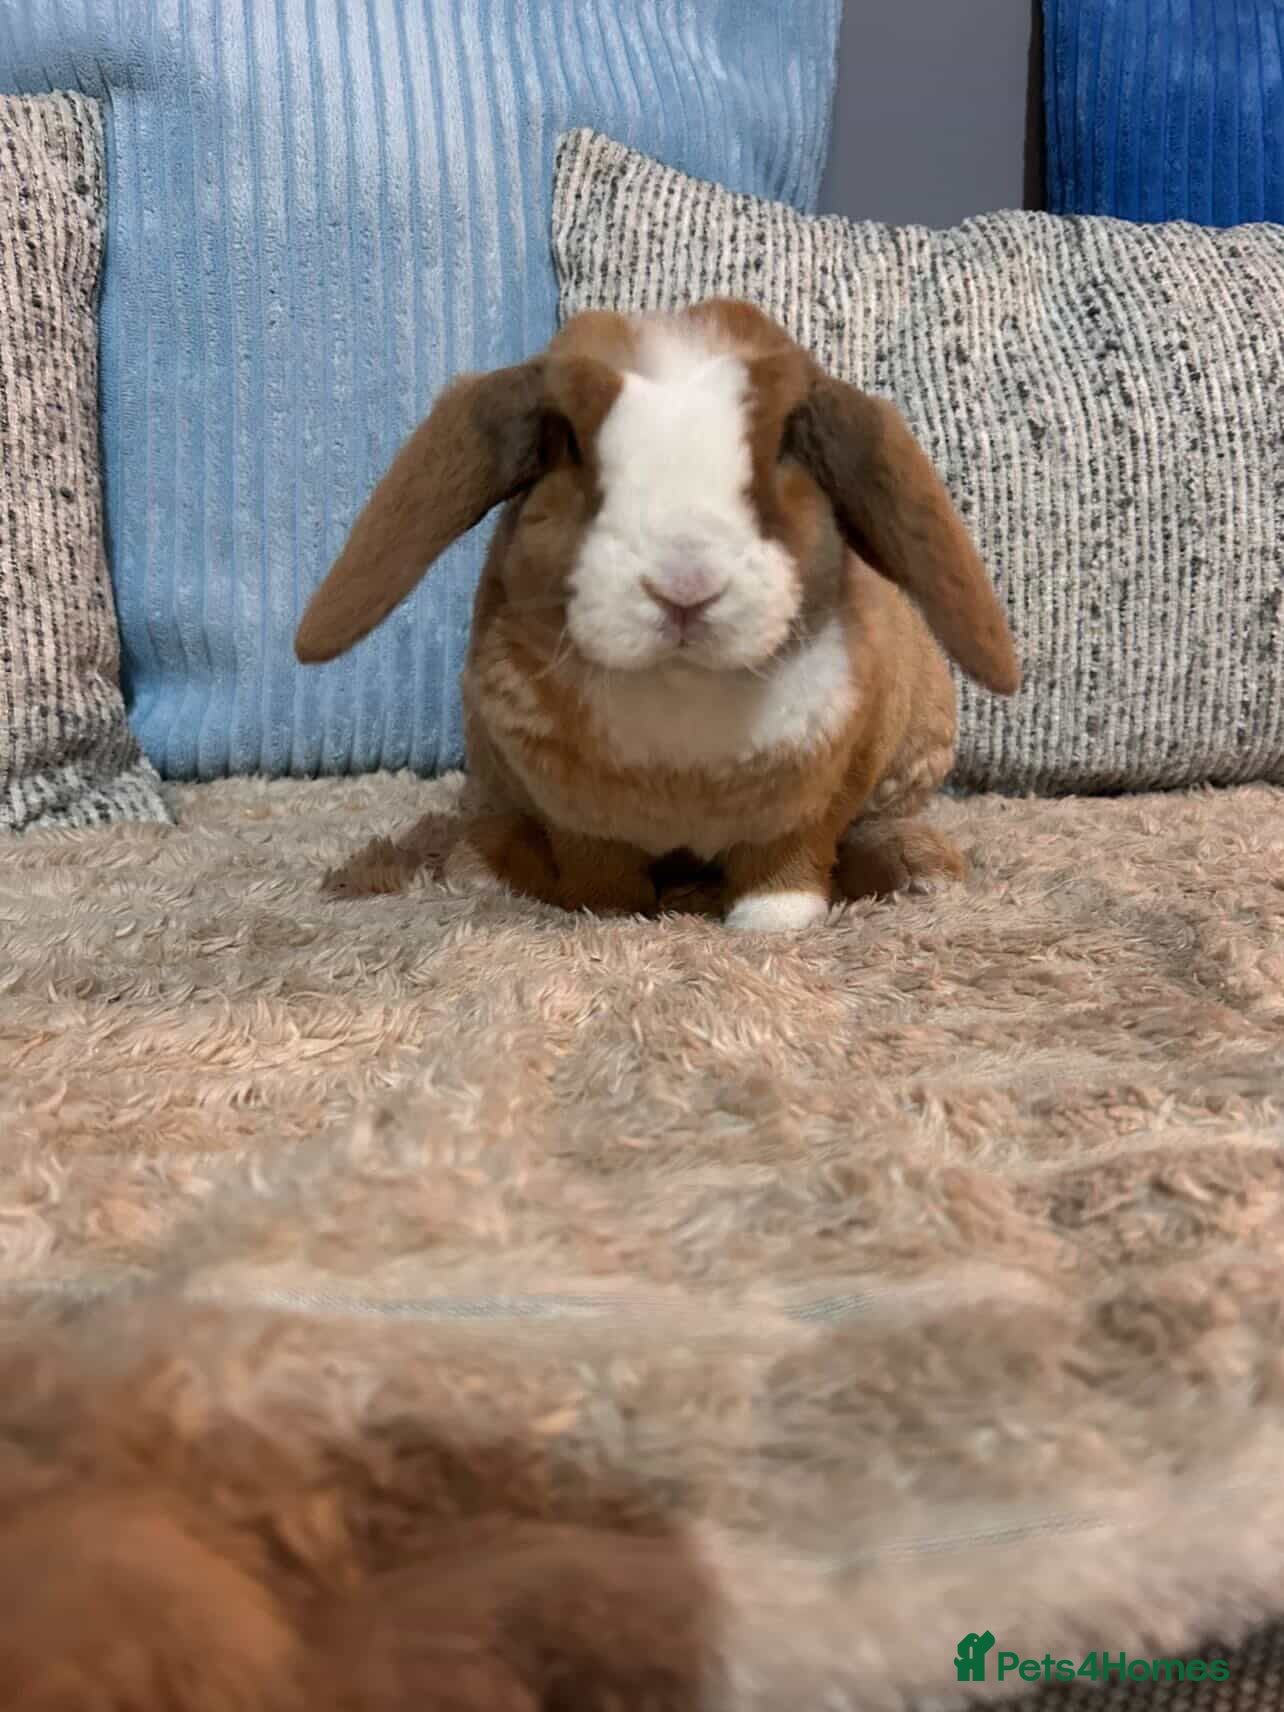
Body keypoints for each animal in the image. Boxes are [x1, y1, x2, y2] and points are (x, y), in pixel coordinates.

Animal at [295, 298, 1019, 932]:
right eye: (570, 443)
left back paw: (921, 872)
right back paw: (477, 866)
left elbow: (788, 857)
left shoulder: (815, 788)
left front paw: (774, 922)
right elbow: (598, 864)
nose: (685, 587)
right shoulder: (574, 810)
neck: (681, 689)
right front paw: (609, 912)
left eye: (784, 444)